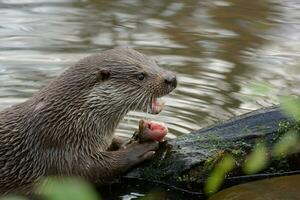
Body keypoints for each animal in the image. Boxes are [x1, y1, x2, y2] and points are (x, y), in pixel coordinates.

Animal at [0, 47, 177, 195]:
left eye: (155, 62)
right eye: (140, 76)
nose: (172, 78)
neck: (70, 117)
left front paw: (135, 137)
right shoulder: (56, 143)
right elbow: (91, 169)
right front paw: (138, 148)